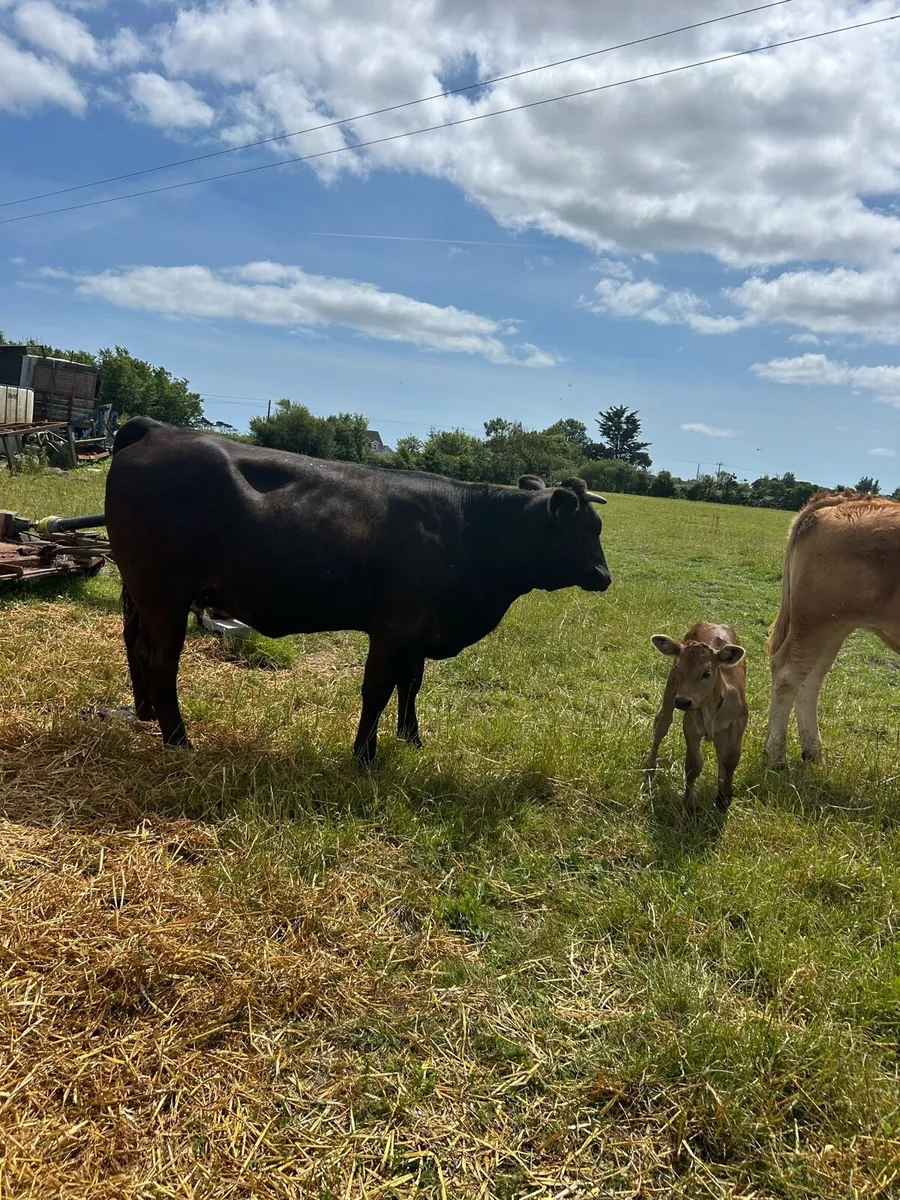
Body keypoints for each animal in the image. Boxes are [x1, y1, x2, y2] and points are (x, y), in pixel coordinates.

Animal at [104, 417, 611, 764]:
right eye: (588, 528)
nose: (605, 576)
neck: (469, 529)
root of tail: (156, 429)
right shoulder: (393, 627)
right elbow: (378, 688)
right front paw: (365, 755)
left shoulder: (418, 631)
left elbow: (412, 683)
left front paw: (411, 737)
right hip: (165, 593)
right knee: (161, 659)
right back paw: (178, 739)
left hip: (141, 593)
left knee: (134, 644)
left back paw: (146, 712)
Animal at [644, 623, 747, 811]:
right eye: (677, 667)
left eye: (707, 673)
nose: (683, 701)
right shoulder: (691, 725)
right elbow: (693, 765)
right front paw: (687, 805)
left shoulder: (740, 720)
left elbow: (730, 758)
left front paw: (724, 797)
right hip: (670, 694)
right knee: (662, 723)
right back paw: (650, 765)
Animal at [765, 490, 900, 767]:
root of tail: (842, 499)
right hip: (816, 623)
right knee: (788, 676)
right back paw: (776, 757)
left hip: (833, 628)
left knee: (810, 679)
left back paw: (813, 754)